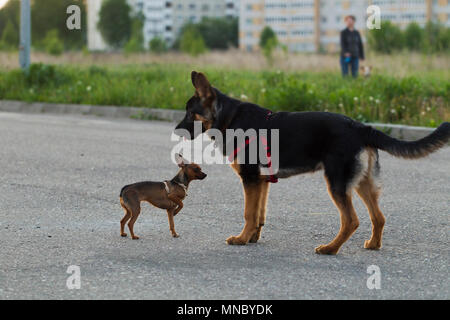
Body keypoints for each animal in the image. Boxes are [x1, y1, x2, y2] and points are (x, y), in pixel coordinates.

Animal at [175, 70, 450, 255]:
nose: (176, 131)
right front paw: (252, 238)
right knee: (378, 217)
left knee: (351, 220)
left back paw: (330, 248)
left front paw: (241, 239)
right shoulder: (262, 182)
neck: (228, 118)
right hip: (362, 183)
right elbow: (259, 214)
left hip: (337, 183)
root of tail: (361, 127)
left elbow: (249, 213)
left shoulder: (251, 180)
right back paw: (373, 245)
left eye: (190, 113)